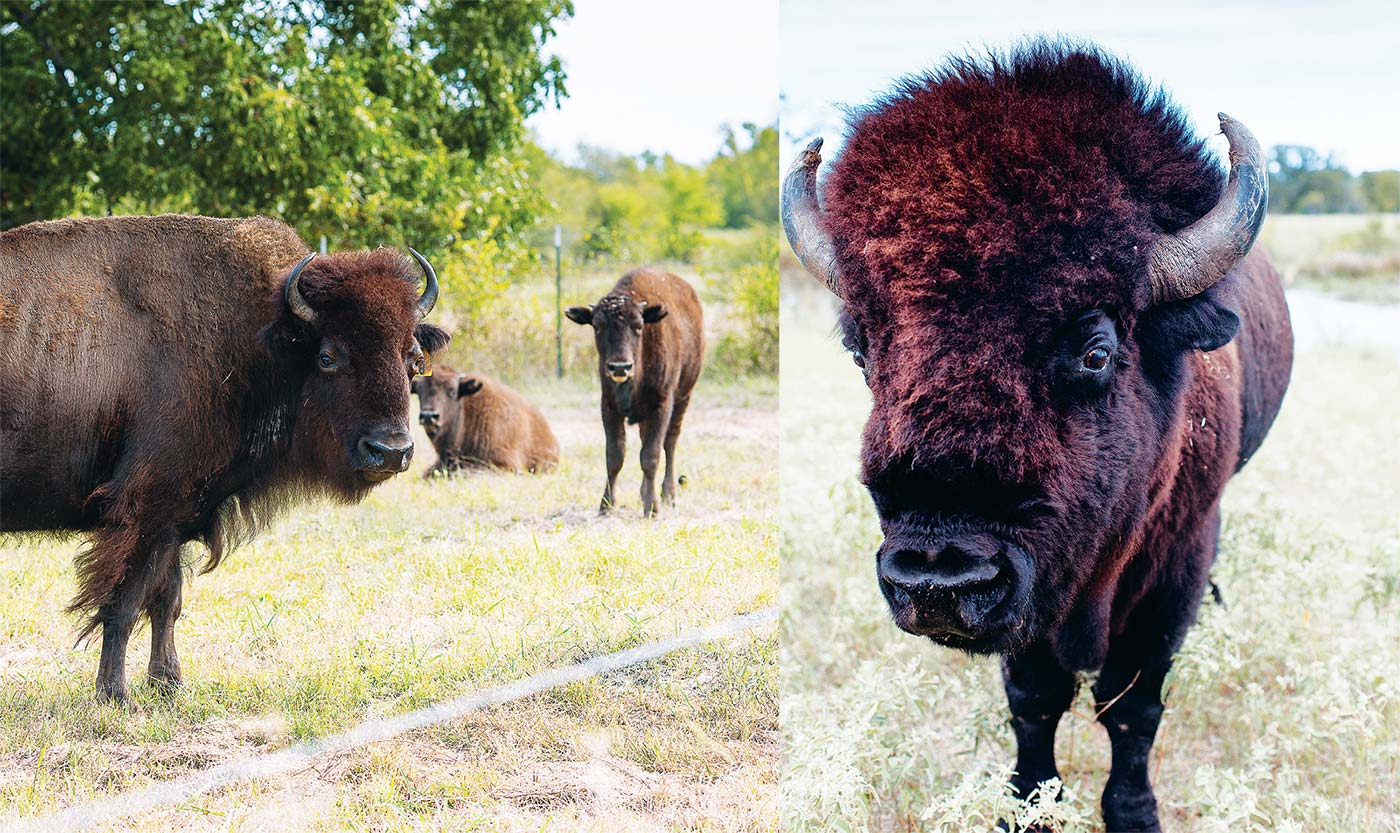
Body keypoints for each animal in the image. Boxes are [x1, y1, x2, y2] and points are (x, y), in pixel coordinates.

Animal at [0, 214, 449, 706]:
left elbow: (167, 599)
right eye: (327, 356)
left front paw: (168, 684)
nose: (391, 451)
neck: (256, 336)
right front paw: (115, 696)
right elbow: (124, 603)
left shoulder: (177, 516)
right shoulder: (146, 510)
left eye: (414, 359)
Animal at [566, 268, 703, 517]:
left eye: (639, 325)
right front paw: (606, 505)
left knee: (670, 443)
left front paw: (652, 509)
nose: (620, 367)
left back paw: (668, 494)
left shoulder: (662, 405)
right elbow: (615, 456)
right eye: (597, 326)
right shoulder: (609, 406)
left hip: (684, 397)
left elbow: (651, 456)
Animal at [782, 43, 1292, 831]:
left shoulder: (1172, 567)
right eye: (862, 350)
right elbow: (1035, 700)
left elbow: (1132, 705)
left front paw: (1133, 813)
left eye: (1096, 352)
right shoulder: (1031, 609)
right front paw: (1026, 804)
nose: (937, 578)